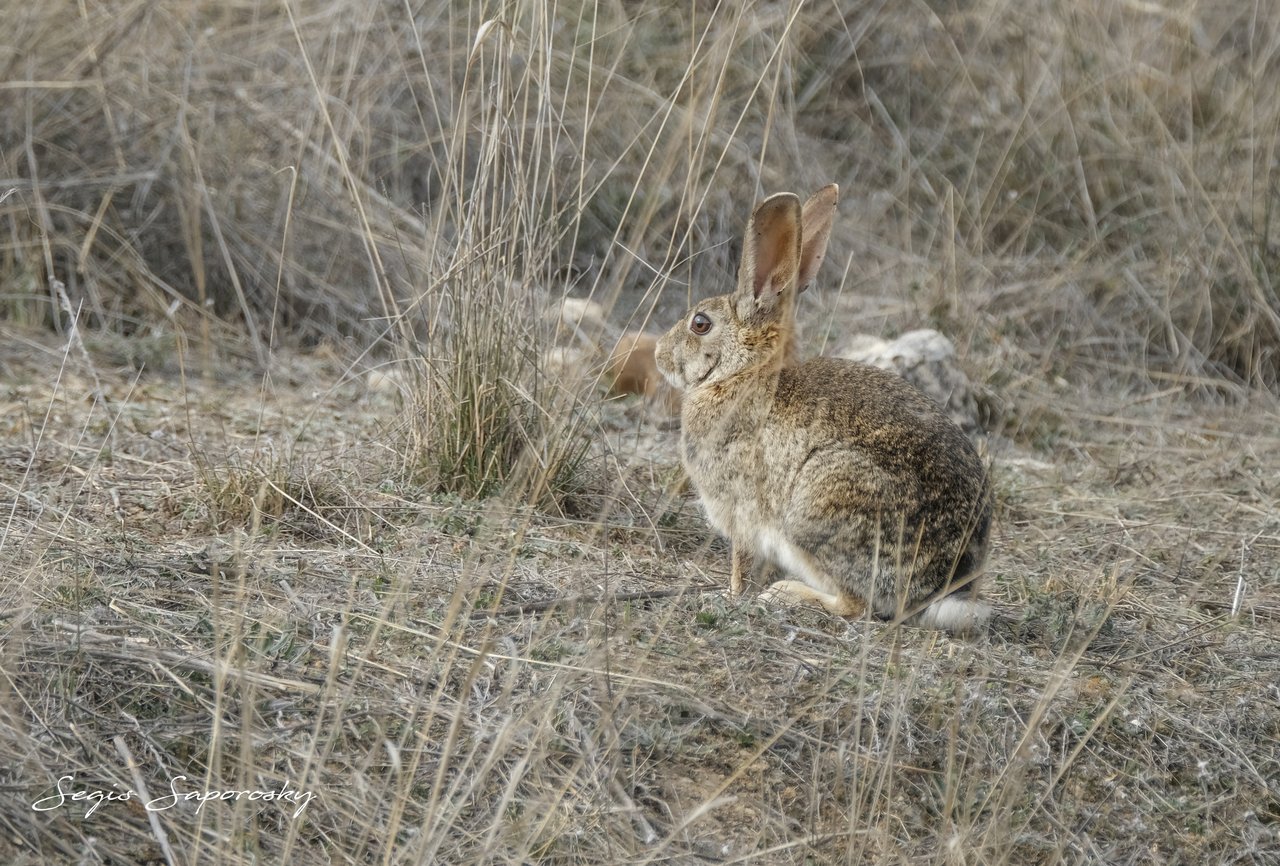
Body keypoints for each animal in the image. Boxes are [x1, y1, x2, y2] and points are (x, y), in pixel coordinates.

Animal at [655, 182, 993, 631]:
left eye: (700, 323)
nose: (658, 353)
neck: (742, 374)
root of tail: (945, 585)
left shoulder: (741, 514)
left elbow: (741, 563)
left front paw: (729, 594)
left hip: (819, 507)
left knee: (856, 605)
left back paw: (786, 593)